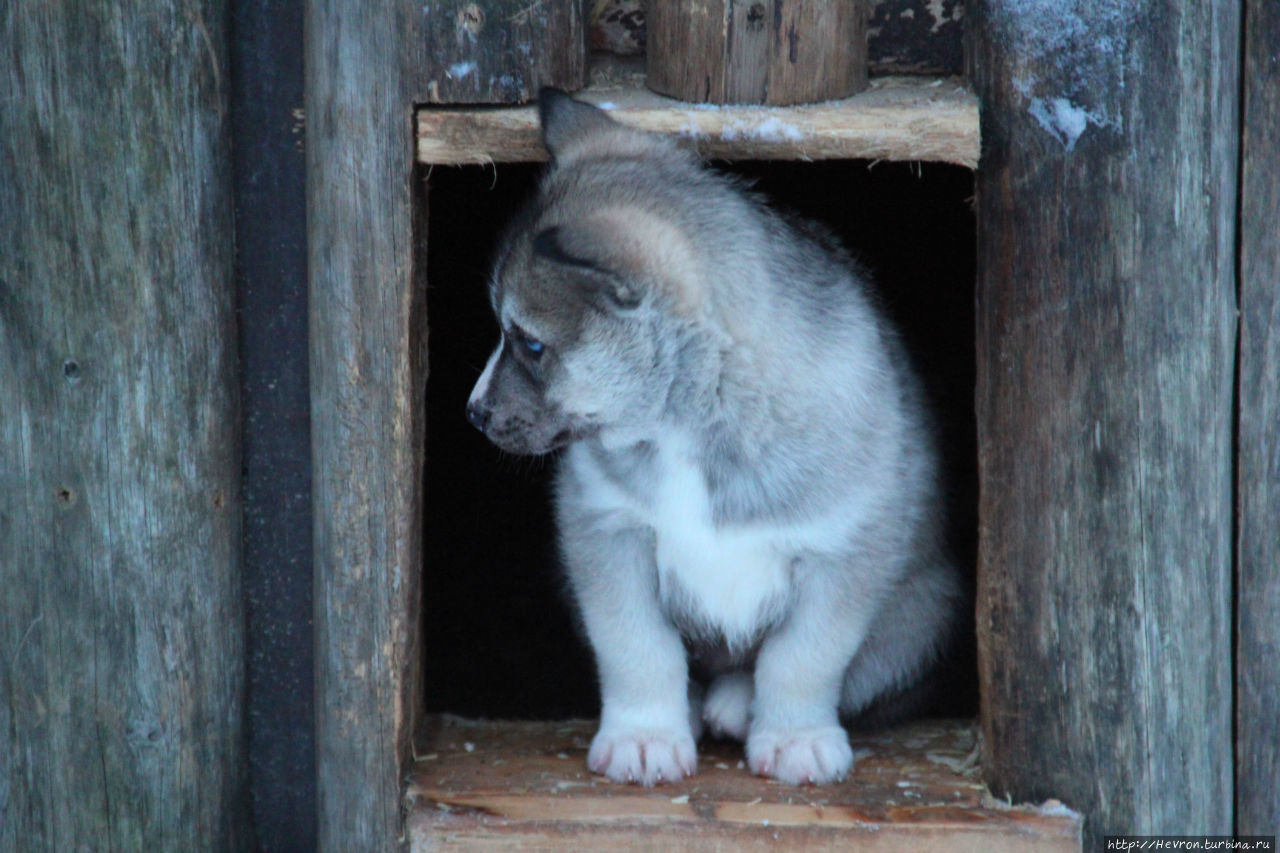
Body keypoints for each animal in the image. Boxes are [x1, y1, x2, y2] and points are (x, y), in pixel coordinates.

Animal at [468, 89, 962, 778]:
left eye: (532, 345)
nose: (474, 413)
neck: (688, 428)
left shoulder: (842, 558)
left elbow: (803, 659)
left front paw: (796, 739)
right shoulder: (606, 535)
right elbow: (636, 648)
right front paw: (644, 737)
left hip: (926, 613)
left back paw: (736, 703)